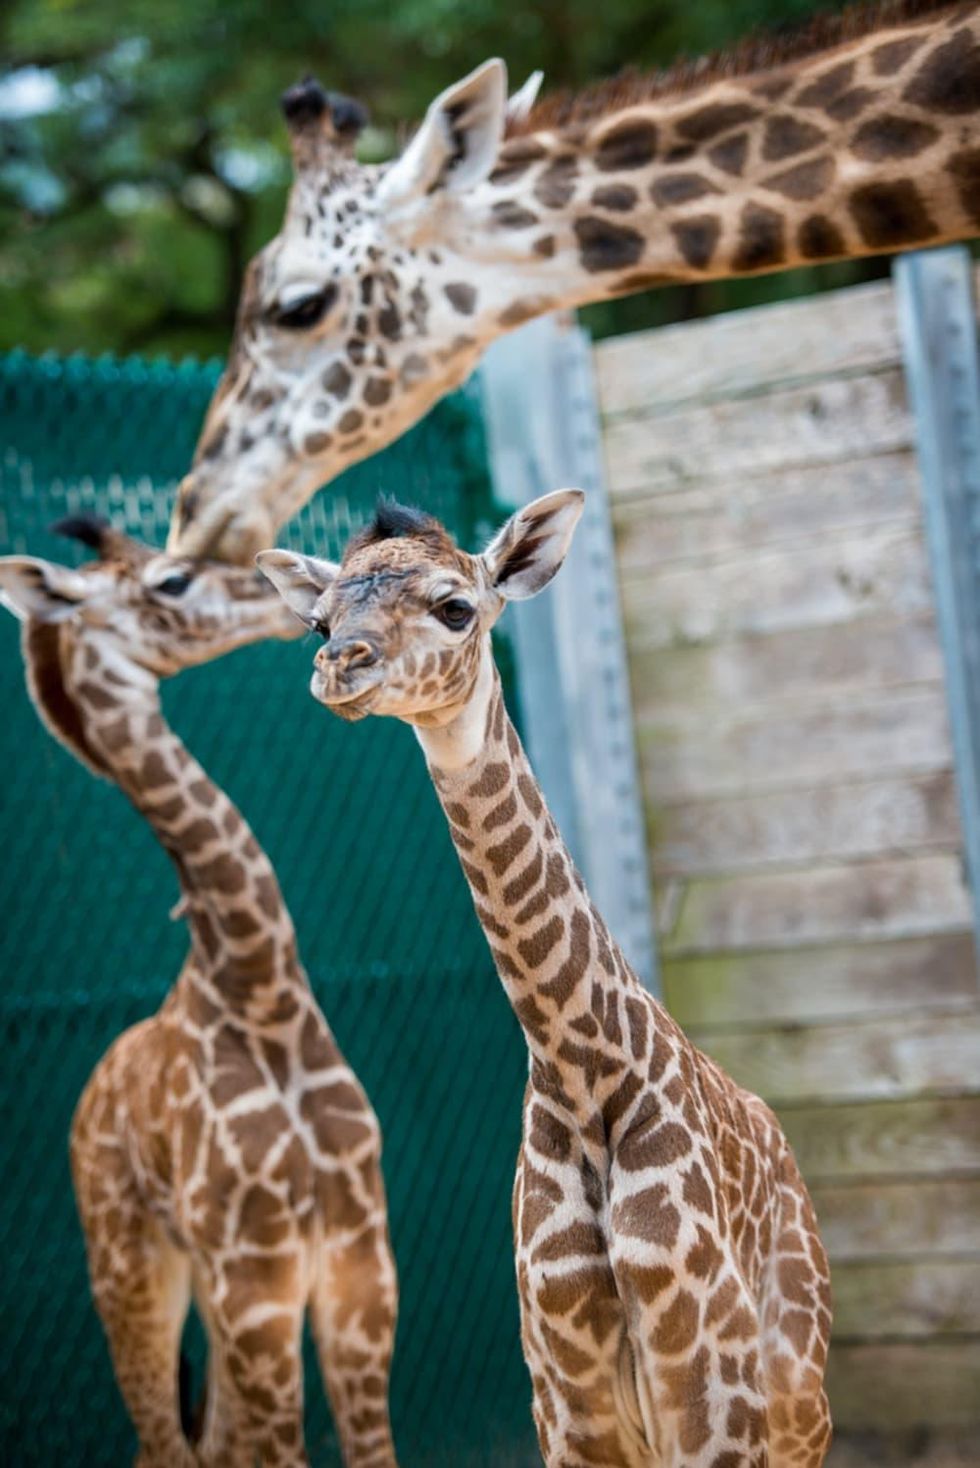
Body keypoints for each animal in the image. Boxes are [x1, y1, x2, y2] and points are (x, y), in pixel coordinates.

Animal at [0, 518, 399, 1468]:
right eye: (172, 581)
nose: (290, 603)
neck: (260, 996)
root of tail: (89, 1099)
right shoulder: (257, 1283)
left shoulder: (360, 1269)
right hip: (133, 1274)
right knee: (164, 1444)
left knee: (207, 1443)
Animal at [256, 494, 834, 1468]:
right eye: (320, 621)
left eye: (457, 607)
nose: (339, 667)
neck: (582, 1079)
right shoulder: (567, 1406)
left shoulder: (714, 1401)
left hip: (797, 1409)